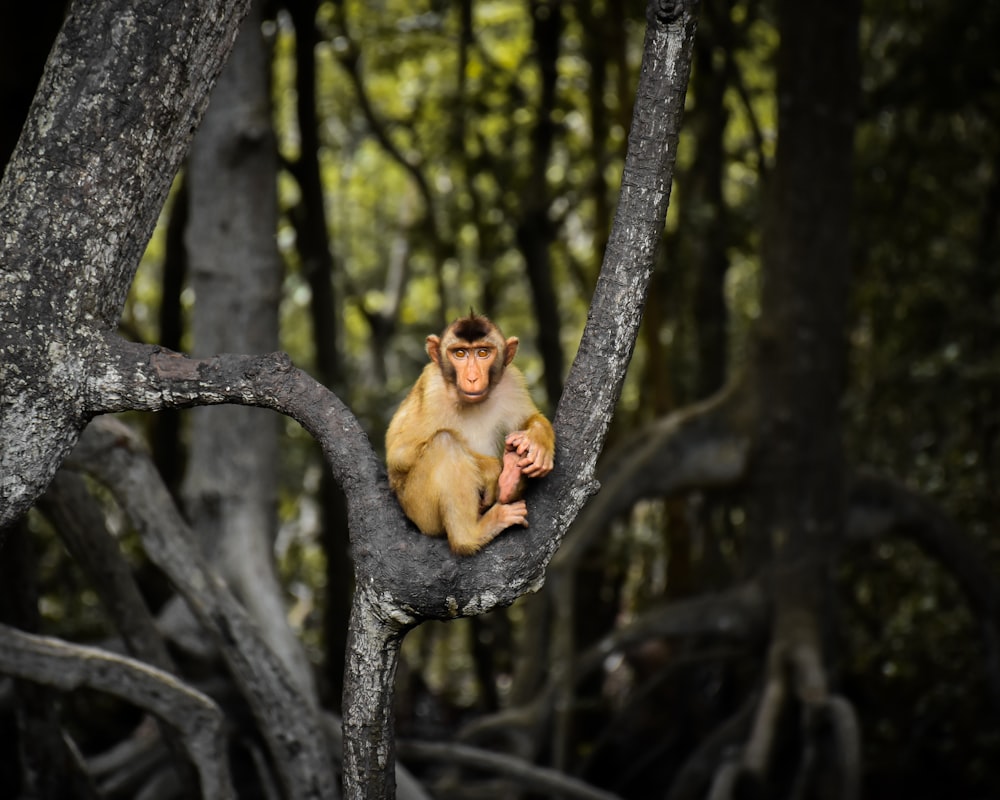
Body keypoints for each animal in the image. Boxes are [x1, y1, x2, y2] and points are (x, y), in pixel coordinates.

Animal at [384, 312, 556, 556]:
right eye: (460, 353)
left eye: (483, 353)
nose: (472, 378)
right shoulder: (431, 386)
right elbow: (400, 454)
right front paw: (491, 470)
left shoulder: (512, 381)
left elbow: (528, 417)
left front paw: (538, 442)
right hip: (420, 511)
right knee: (445, 441)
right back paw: (472, 534)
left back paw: (510, 477)